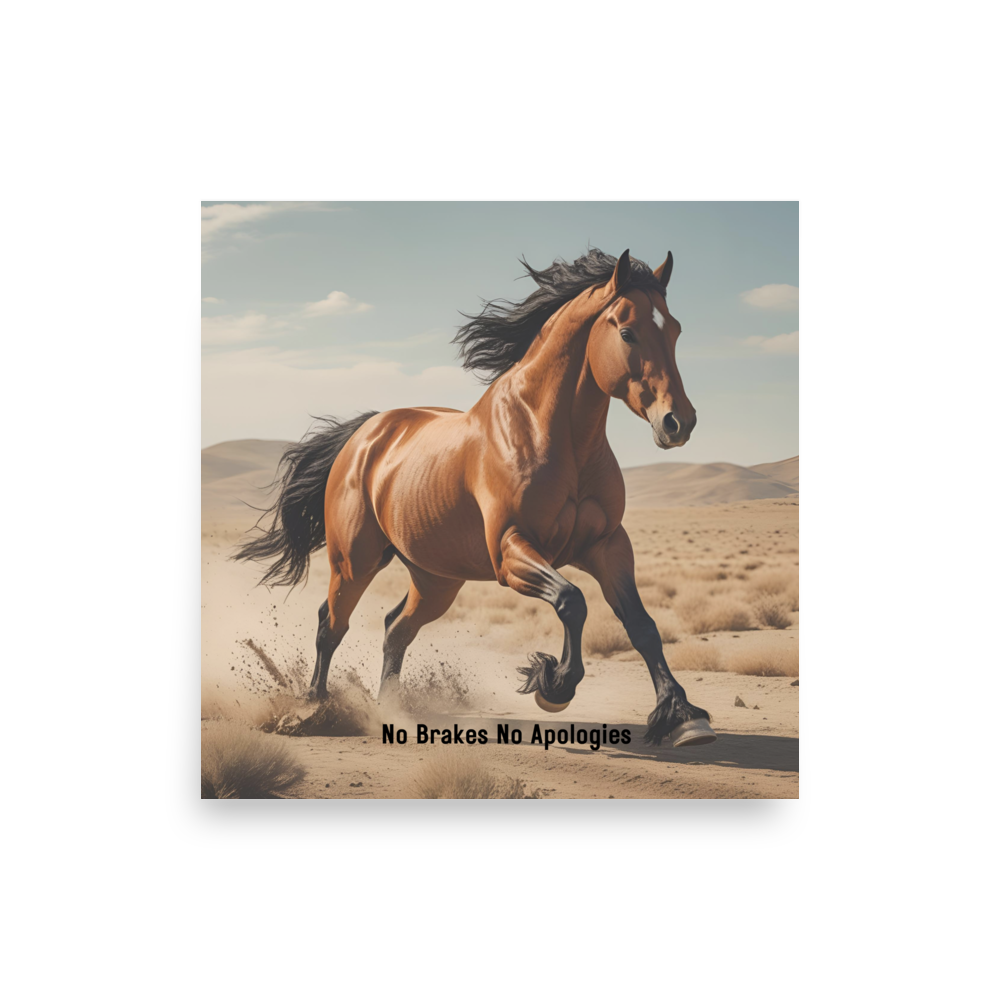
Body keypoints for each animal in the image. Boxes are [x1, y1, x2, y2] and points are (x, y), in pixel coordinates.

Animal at [234, 247, 716, 747]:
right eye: (627, 332)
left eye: (675, 329)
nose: (678, 422)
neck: (553, 435)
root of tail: (366, 433)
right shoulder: (510, 551)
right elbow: (572, 601)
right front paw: (554, 685)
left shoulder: (607, 546)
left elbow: (642, 625)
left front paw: (684, 717)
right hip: (355, 562)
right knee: (331, 625)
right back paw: (312, 709)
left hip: (436, 579)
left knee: (395, 630)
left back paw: (390, 710)